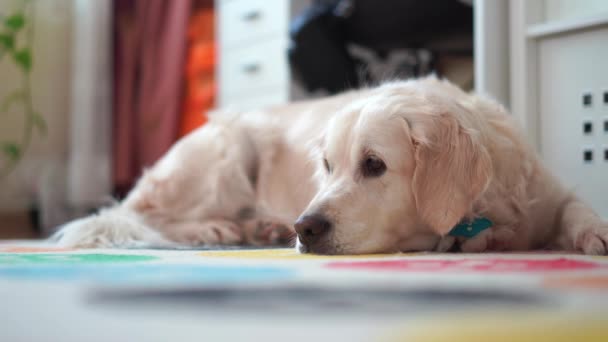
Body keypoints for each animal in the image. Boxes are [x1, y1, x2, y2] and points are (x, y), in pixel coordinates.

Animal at [55, 77, 608, 254]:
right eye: (326, 165)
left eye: (374, 164)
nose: (304, 227)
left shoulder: (550, 195)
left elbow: (578, 209)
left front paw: (595, 233)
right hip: (225, 151)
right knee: (143, 215)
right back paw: (216, 229)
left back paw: (261, 228)